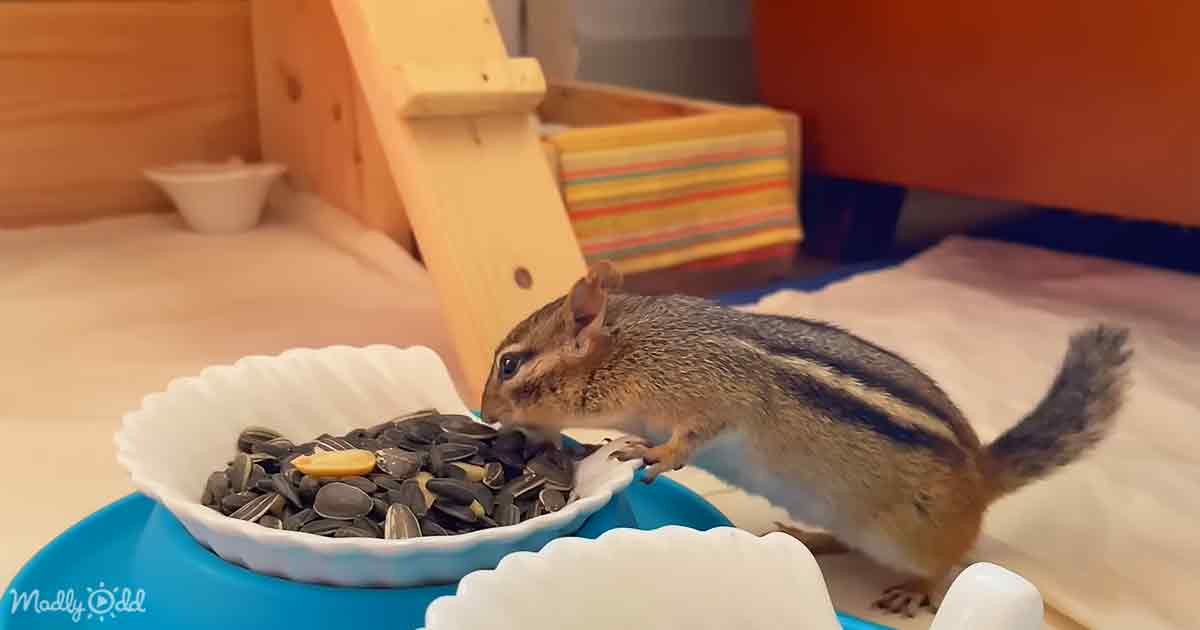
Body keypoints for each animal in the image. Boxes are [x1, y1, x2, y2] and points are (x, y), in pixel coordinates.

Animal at [480, 261, 1132, 617]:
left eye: (510, 365)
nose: (485, 415)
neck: (638, 343)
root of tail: (980, 473)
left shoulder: (712, 396)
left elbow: (691, 438)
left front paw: (652, 452)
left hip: (911, 536)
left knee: (946, 561)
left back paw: (915, 588)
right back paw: (811, 538)